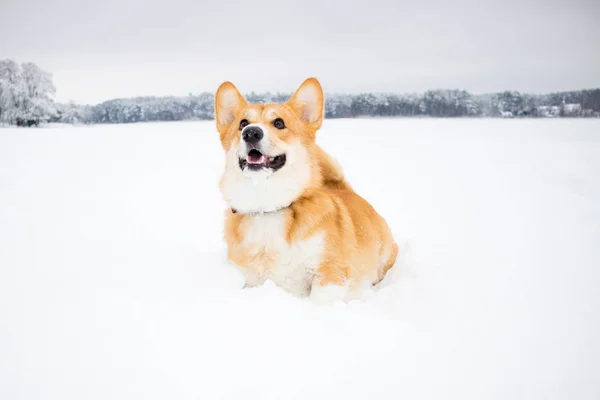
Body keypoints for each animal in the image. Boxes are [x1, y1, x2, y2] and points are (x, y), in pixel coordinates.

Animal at [216, 78, 398, 304]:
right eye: (242, 123)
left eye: (279, 123)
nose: (251, 132)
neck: (268, 206)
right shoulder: (252, 279)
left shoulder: (330, 273)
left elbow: (319, 301)